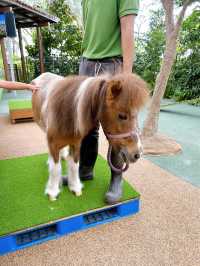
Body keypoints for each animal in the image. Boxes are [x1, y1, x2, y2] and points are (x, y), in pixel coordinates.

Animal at [32, 72, 148, 202]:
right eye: (122, 116)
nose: (137, 153)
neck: (66, 114)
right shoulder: (53, 143)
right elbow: (55, 168)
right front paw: (52, 192)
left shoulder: (76, 144)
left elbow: (74, 165)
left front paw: (75, 187)